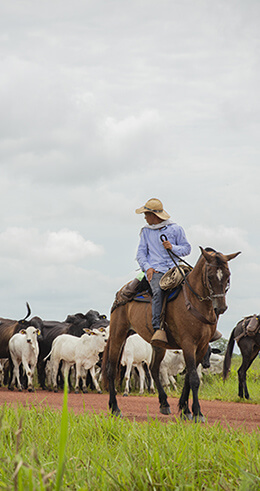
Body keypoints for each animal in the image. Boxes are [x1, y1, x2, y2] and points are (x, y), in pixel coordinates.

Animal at [102, 250, 241, 422]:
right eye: (209, 276)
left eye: (228, 275)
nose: (220, 307)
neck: (194, 302)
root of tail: (121, 293)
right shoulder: (188, 344)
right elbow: (194, 378)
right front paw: (197, 412)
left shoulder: (201, 347)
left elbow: (188, 377)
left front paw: (185, 409)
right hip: (118, 334)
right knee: (111, 369)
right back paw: (115, 408)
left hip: (158, 345)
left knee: (153, 369)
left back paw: (164, 403)